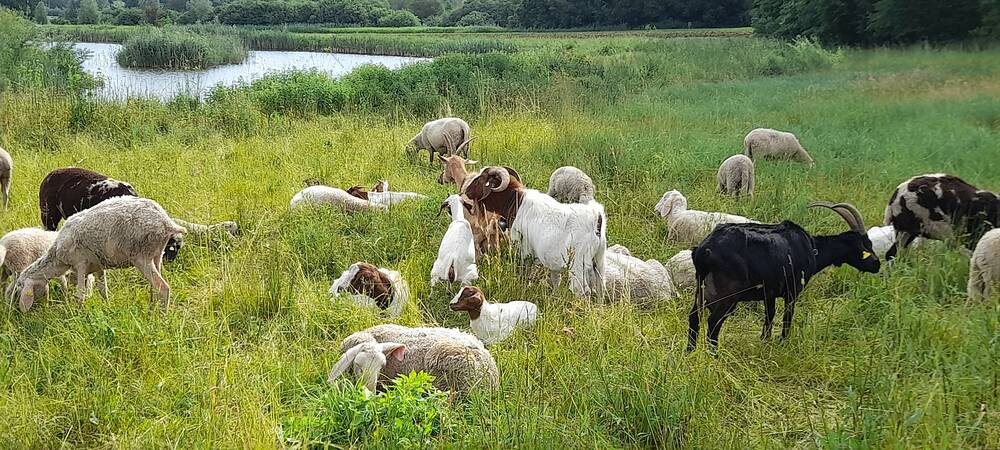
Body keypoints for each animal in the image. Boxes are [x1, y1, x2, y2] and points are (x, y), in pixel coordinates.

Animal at [688, 202, 880, 353]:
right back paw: (714, 355)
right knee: (714, 322)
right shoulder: (792, 291)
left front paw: (765, 341)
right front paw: (783, 342)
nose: (877, 264)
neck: (812, 248)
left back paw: (690, 351)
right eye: (866, 244)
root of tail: (704, 251)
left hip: (702, 288)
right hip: (728, 295)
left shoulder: (769, 293)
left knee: (694, 316)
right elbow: (787, 317)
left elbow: (770, 315)